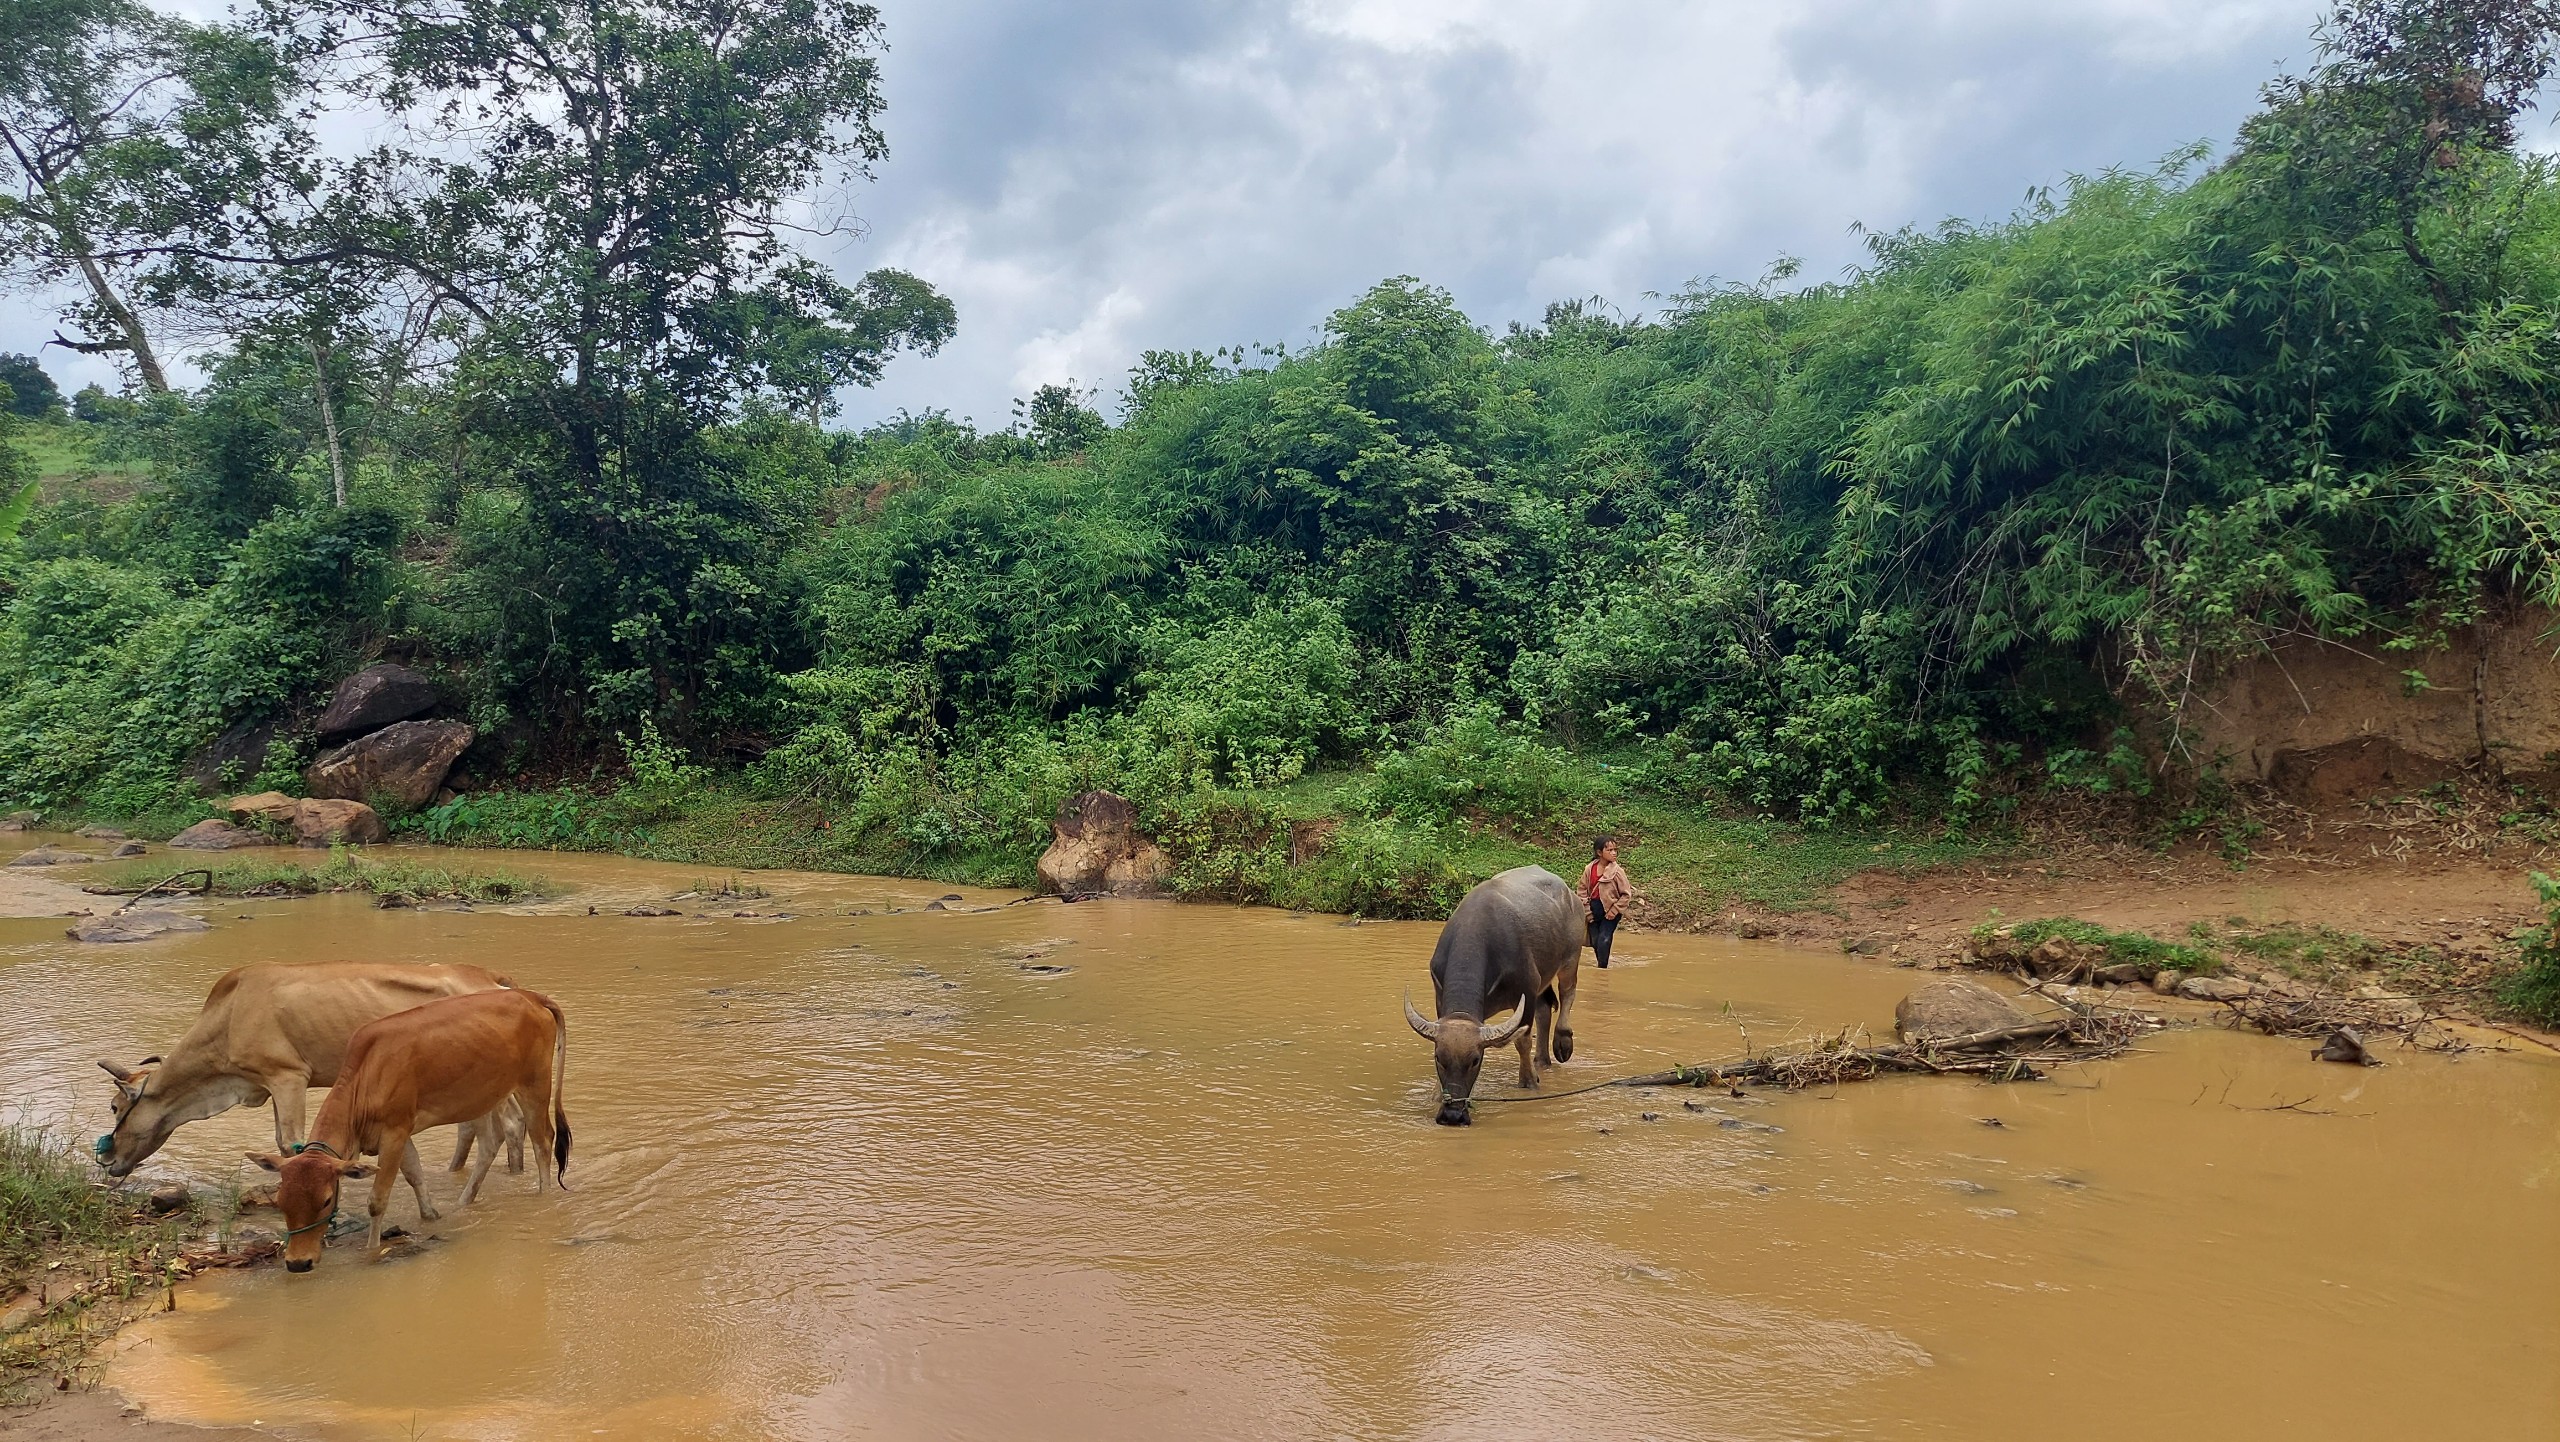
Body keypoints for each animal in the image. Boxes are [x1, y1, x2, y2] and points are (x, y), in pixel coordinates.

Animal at [248, 988, 570, 1270]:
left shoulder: (395, 1131)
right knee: (491, 1143)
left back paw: (543, 1195)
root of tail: (530, 996)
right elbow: (415, 1174)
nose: (297, 1263)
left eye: (326, 1200)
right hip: (484, 1094)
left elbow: (377, 1200)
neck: (366, 1076)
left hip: (534, 1084)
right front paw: (431, 1215)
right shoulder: (397, 1134)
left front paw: (371, 1250)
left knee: (542, 1142)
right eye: (281, 1200)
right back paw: (463, 1203)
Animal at [1402, 865, 1576, 1121]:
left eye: (1476, 1060)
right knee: (1544, 1010)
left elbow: (1522, 1041)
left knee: (1567, 994)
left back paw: (1563, 1041)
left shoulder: (1526, 990)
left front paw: (1529, 1081)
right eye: (1438, 1058)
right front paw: (1436, 1094)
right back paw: (1542, 1061)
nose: (1453, 1115)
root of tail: (1569, 893)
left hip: (1570, 959)